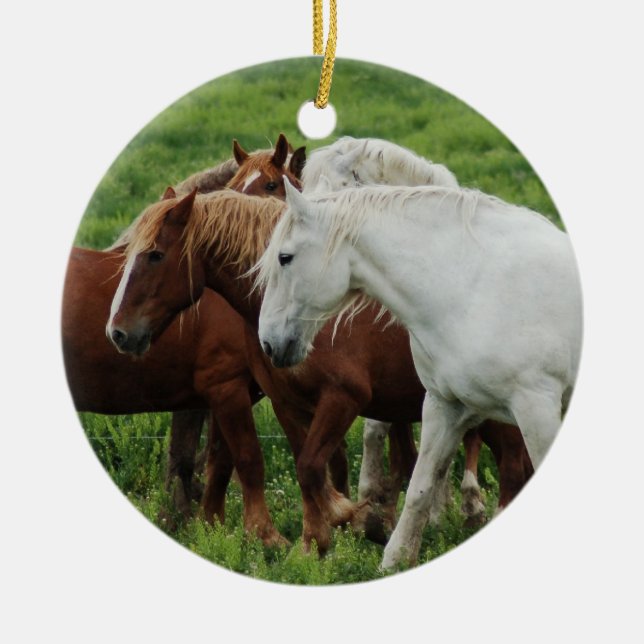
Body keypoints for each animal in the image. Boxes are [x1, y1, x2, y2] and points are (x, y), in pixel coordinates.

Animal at [106, 188, 535, 555]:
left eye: (155, 255)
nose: (118, 332)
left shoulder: (343, 399)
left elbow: (312, 467)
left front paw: (350, 518)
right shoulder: (289, 405)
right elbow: (305, 468)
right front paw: (315, 542)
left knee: (514, 469)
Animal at [257, 180, 582, 568]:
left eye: (284, 257)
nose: (268, 342)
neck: (472, 290)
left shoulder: (536, 409)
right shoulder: (446, 406)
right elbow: (419, 488)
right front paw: (394, 559)